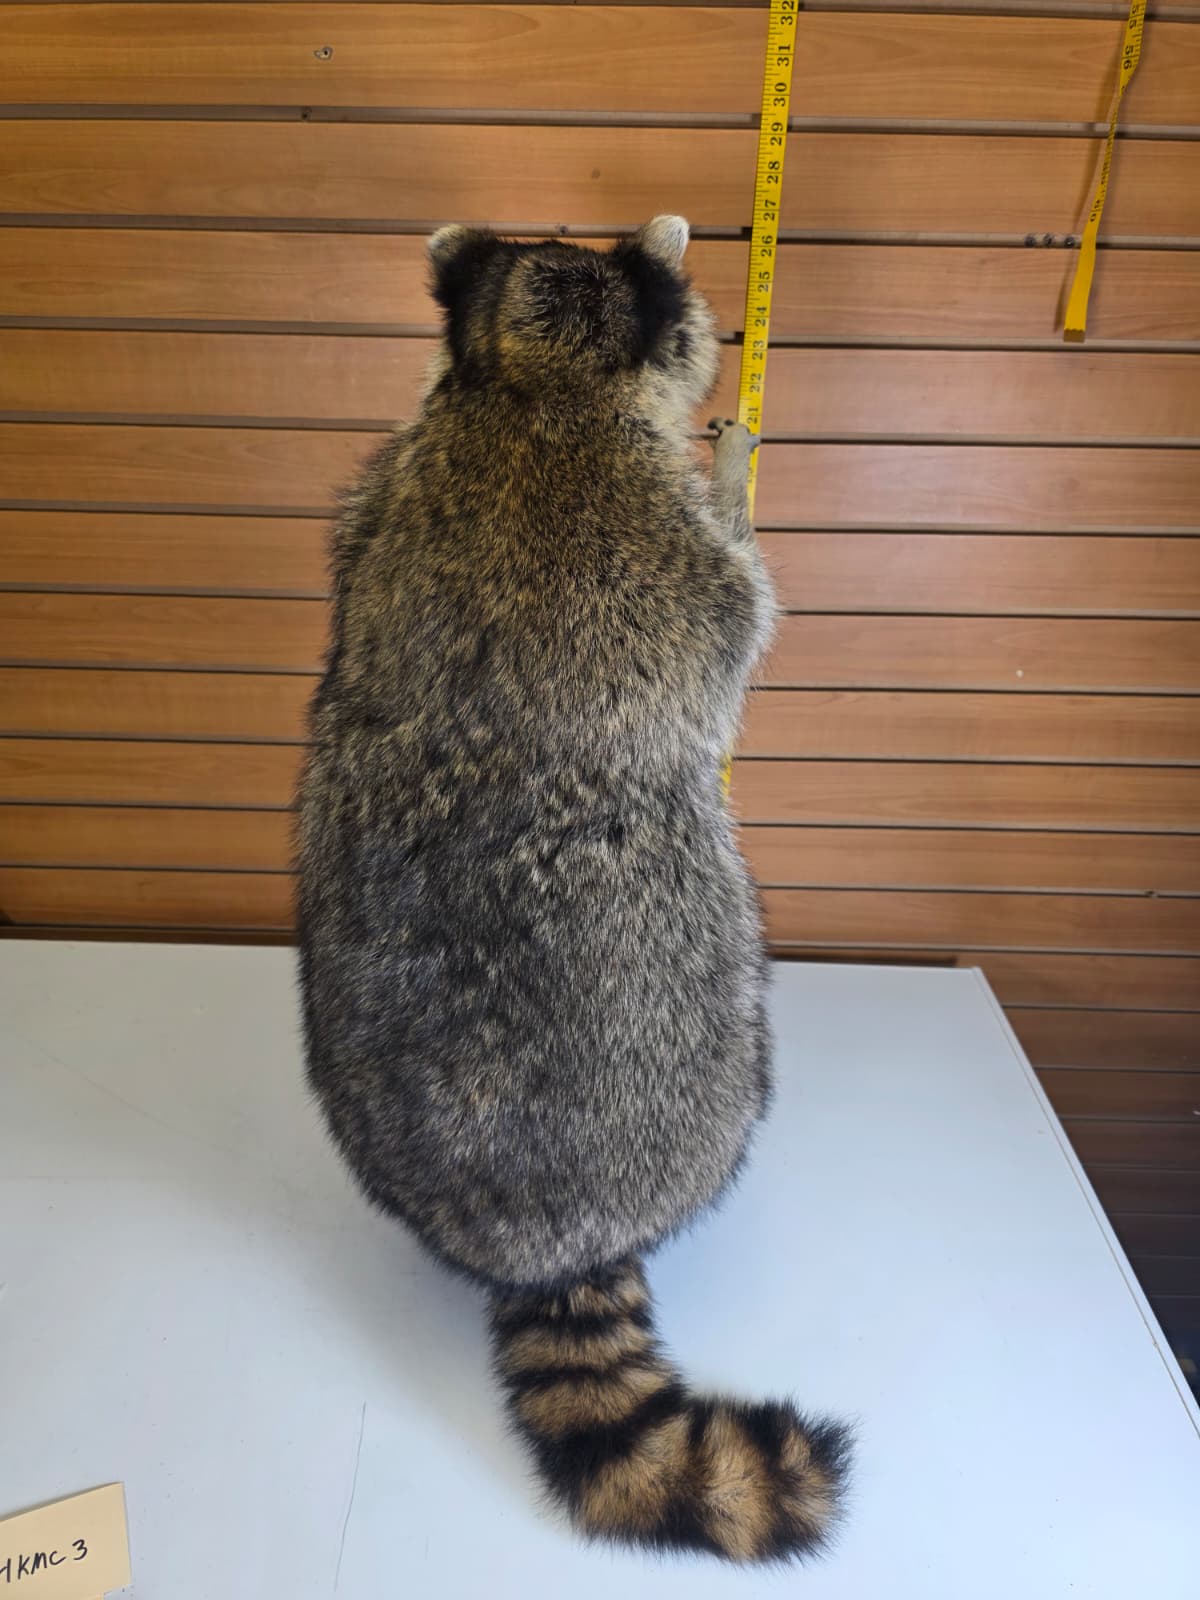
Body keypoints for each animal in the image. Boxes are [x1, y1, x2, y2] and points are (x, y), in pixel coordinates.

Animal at [296, 215, 851, 1563]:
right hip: (713, 1056)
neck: (525, 373)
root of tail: (545, 1241)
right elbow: (736, 617)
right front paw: (739, 471)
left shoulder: (376, 493)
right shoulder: (651, 540)